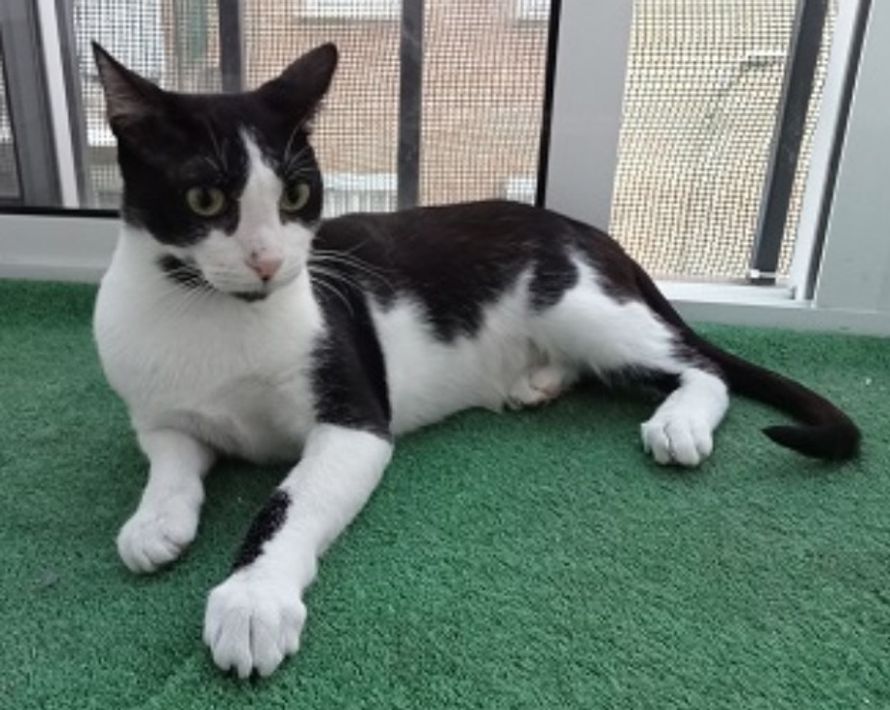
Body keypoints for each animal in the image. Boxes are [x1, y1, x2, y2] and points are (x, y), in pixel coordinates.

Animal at [90, 41, 859, 679]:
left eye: (297, 195)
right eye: (204, 197)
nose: (270, 261)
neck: (206, 311)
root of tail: (586, 229)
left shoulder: (356, 420)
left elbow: (289, 500)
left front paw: (252, 601)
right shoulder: (157, 413)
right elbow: (171, 456)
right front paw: (155, 520)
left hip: (578, 305)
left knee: (702, 364)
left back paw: (680, 421)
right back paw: (538, 380)